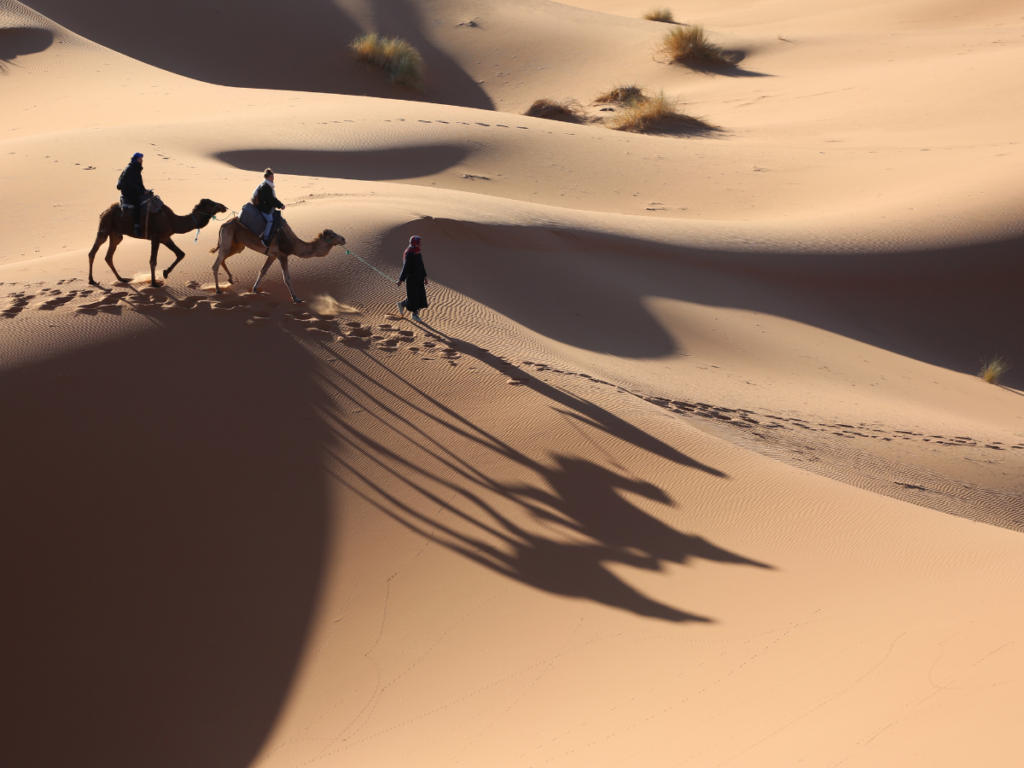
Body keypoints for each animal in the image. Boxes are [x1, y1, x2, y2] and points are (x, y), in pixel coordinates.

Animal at [88, 198, 228, 288]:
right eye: (211, 204)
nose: (223, 206)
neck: (173, 221)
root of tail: (105, 211)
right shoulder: (155, 237)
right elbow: (153, 261)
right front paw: (154, 283)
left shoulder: (165, 237)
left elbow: (180, 254)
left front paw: (165, 273)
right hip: (105, 227)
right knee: (93, 251)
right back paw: (91, 280)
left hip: (116, 234)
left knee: (109, 256)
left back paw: (121, 278)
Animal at [211, 217, 348, 303]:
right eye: (332, 235)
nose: (343, 239)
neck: (294, 244)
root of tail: (224, 224)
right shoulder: (283, 255)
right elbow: (287, 278)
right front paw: (296, 299)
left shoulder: (272, 255)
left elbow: (263, 271)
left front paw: (255, 290)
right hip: (228, 237)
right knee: (216, 263)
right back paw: (218, 290)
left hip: (238, 244)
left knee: (223, 257)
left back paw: (230, 279)